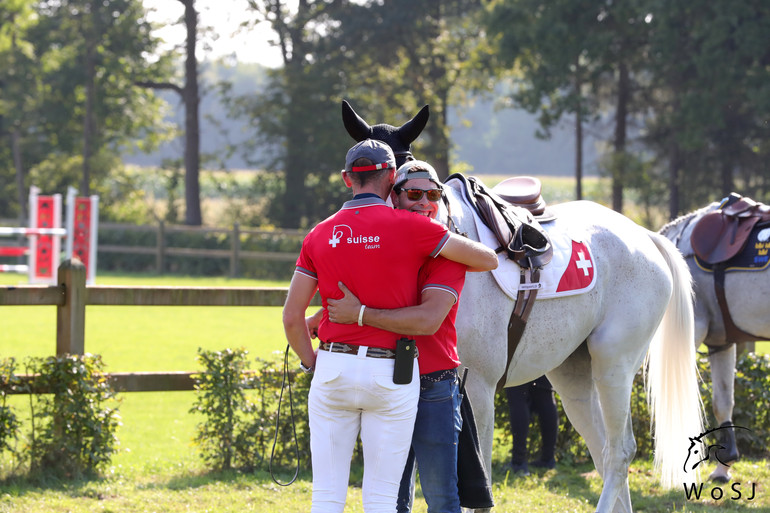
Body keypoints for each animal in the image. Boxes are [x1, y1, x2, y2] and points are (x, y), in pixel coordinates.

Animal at [342, 98, 704, 510]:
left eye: (401, 175)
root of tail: (643, 235)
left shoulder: (477, 389)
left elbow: (475, 483)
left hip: (614, 364)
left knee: (620, 451)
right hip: (574, 374)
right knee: (604, 450)